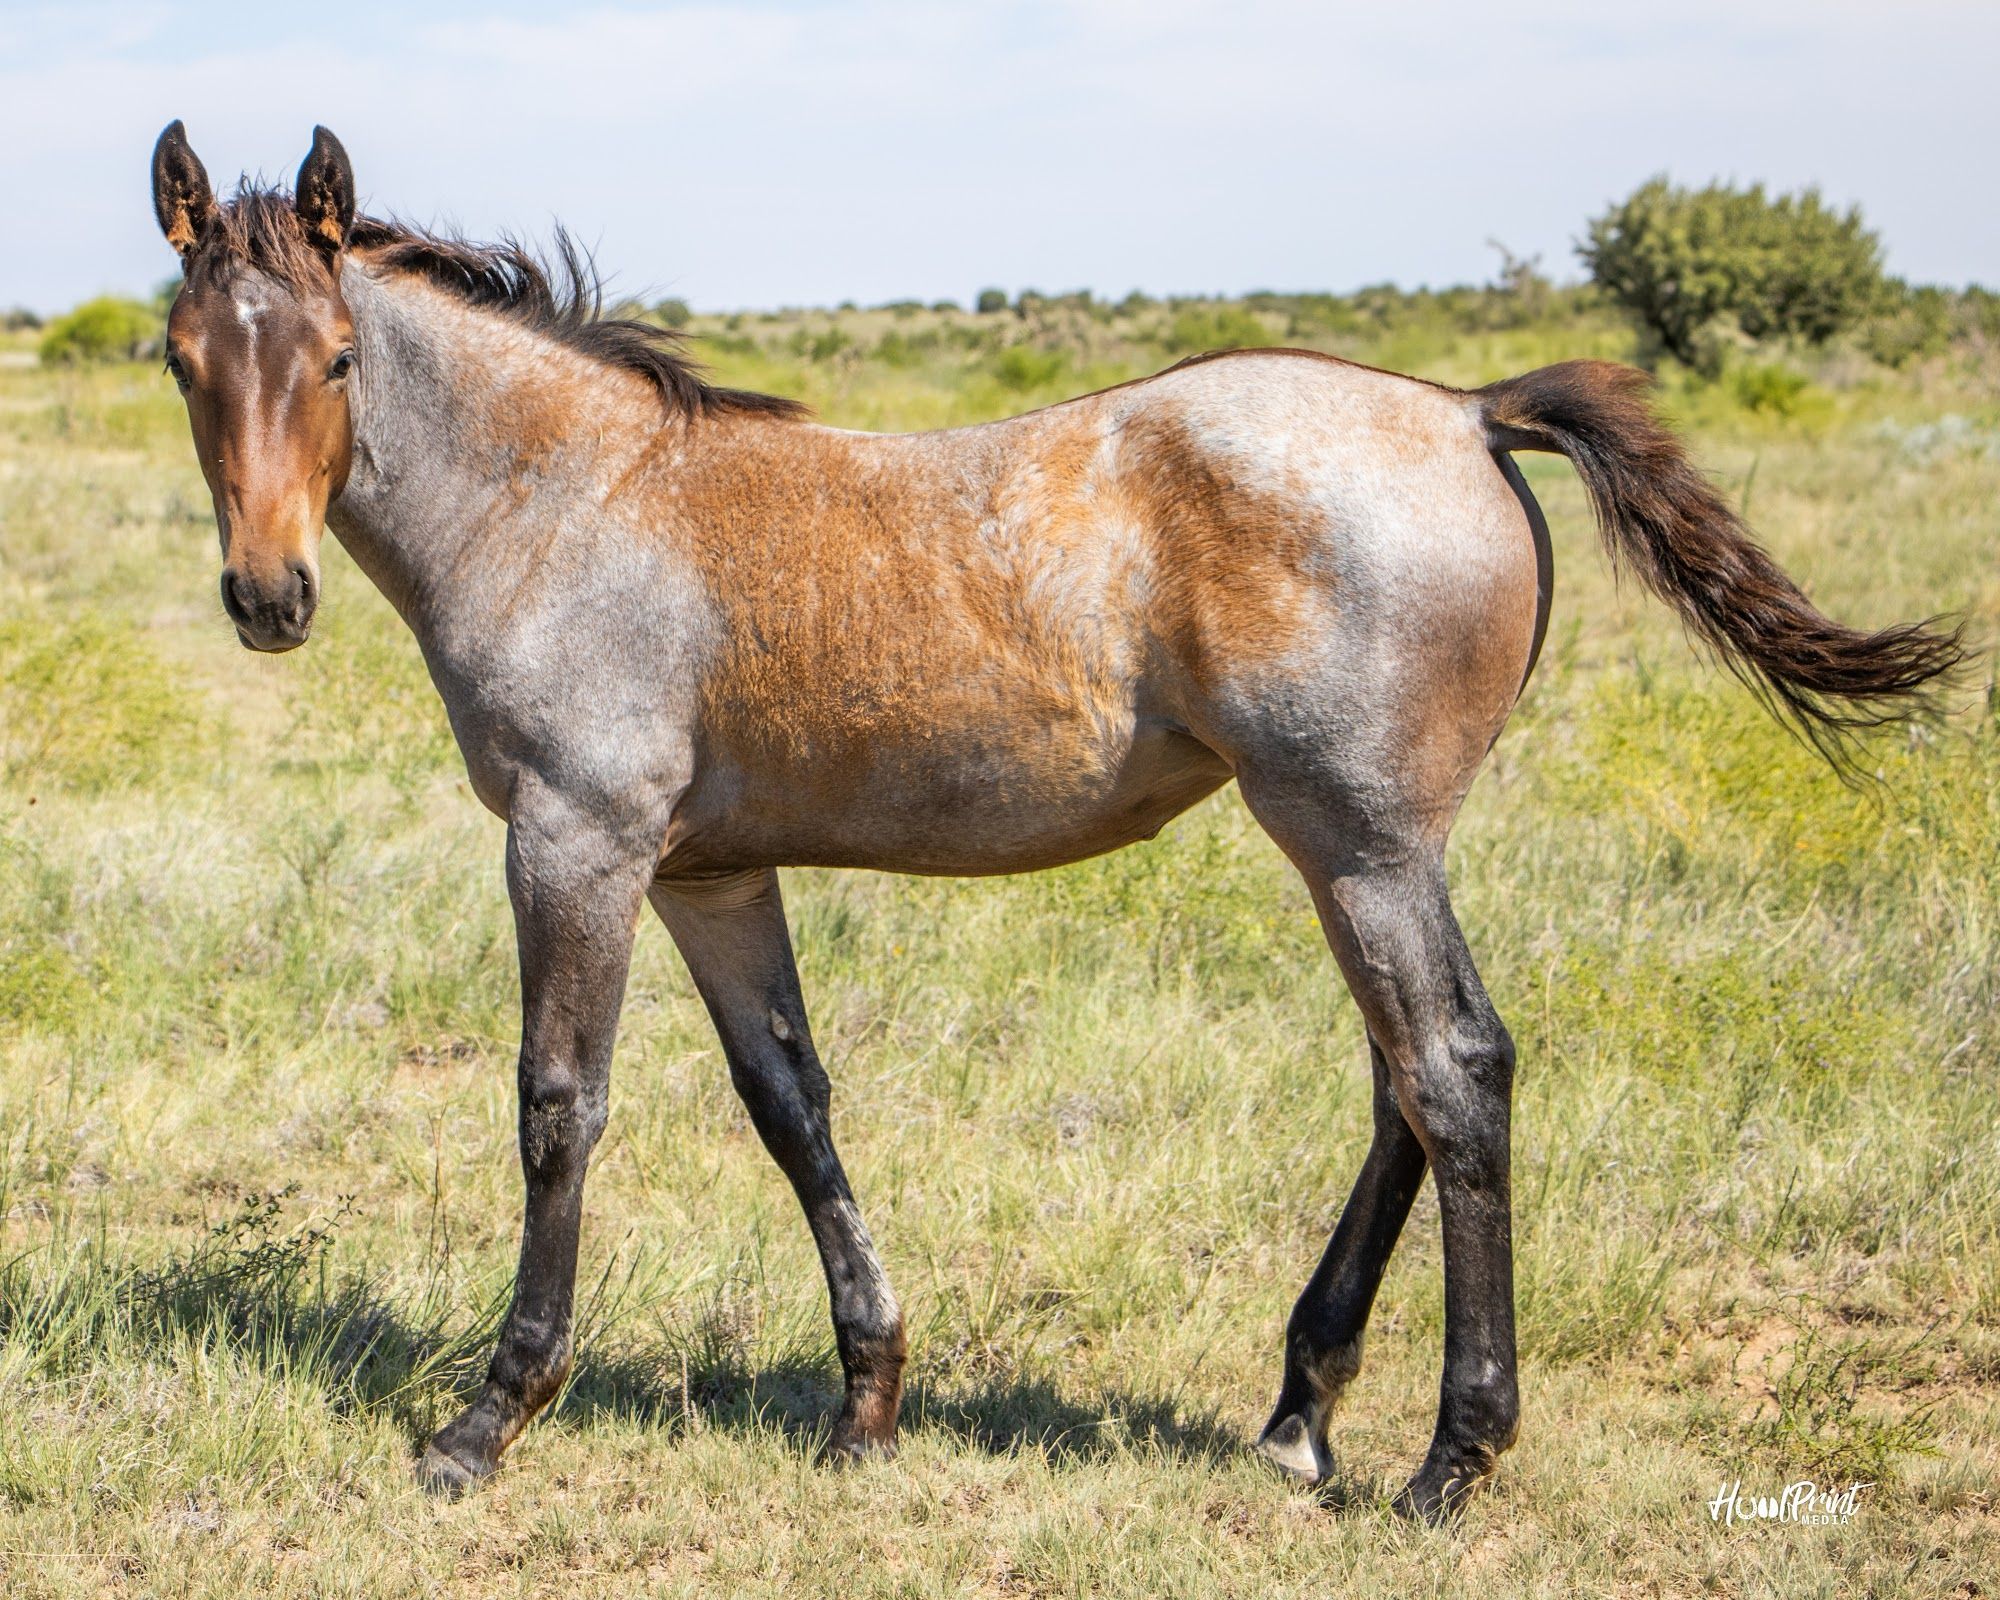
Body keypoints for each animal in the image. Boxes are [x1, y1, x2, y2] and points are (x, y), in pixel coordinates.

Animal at [147, 121, 1963, 1518]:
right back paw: (1299, 1414)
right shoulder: (713, 875)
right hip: (1367, 855)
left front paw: (486, 1418)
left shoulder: (574, 845)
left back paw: (1450, 1459)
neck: (573, 498)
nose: (266, 596)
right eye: (181, 361)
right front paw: (869, 1402)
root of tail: (1464, 408)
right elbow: (793, 1107)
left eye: (333, 359)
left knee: (1456, 1074)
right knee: (1408, 1083)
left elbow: (555, 1110)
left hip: (1359, 844)